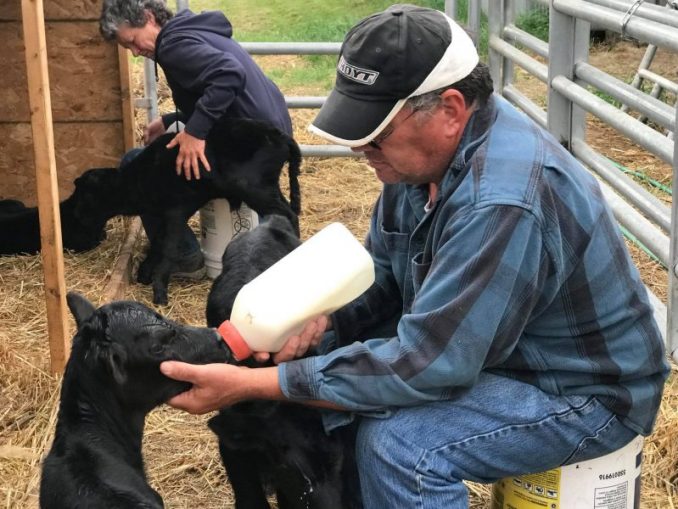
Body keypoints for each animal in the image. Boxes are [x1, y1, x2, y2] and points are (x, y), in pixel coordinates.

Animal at [70, 117, 302, 304]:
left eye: (82, 197)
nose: (71, 244)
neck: (137, 181)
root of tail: (281, 137)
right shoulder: (164, 215)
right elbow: (158, 243)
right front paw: (145, 272)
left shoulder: (174, 213)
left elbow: (168, 249)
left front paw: (159, 291)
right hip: (267, 188)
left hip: (254, 187)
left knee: (288, 215)